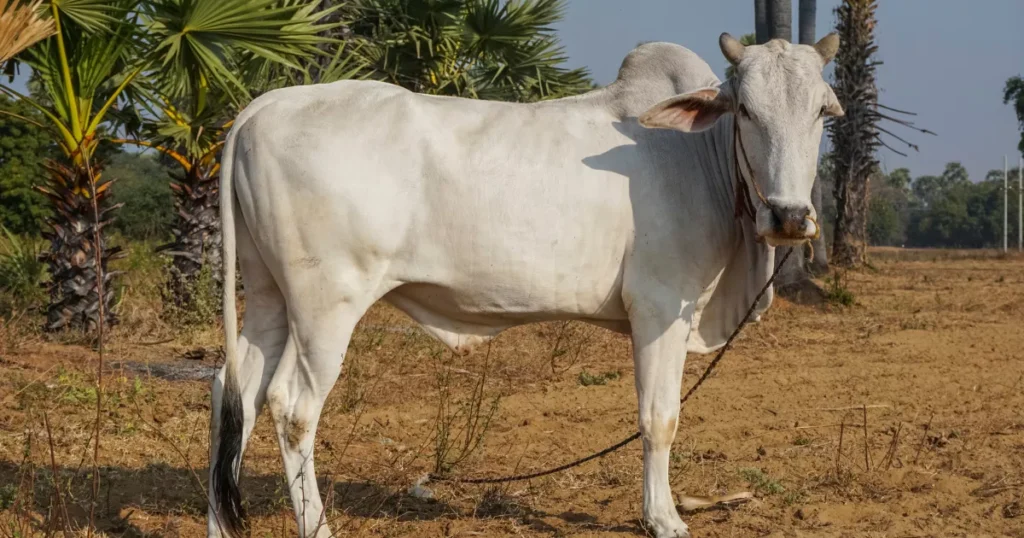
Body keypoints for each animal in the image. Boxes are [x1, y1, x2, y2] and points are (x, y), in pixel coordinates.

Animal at [205, 34, 839, 536]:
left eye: (821, 113)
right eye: (746, 110)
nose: (789, 216)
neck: (702, 158)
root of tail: (263, 107)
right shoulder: (661, 308)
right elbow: (659, 418)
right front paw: (663, 518)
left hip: (269, 297)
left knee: (233, 394)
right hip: (325, 305)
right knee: (292, 407)